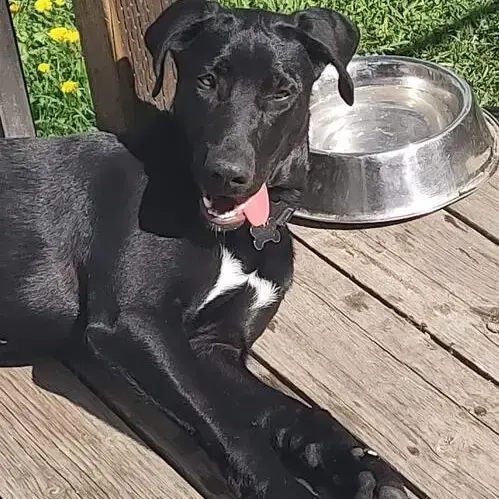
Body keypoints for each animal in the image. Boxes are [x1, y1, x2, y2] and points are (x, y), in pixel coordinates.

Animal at [0, 1, 406, 498]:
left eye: (281, 92)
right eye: (206, 80)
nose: (225, 175)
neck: (238, 235)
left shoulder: (213, 343)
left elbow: (286, 410)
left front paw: (354, 463)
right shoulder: (133, 323)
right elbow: (226, 424)